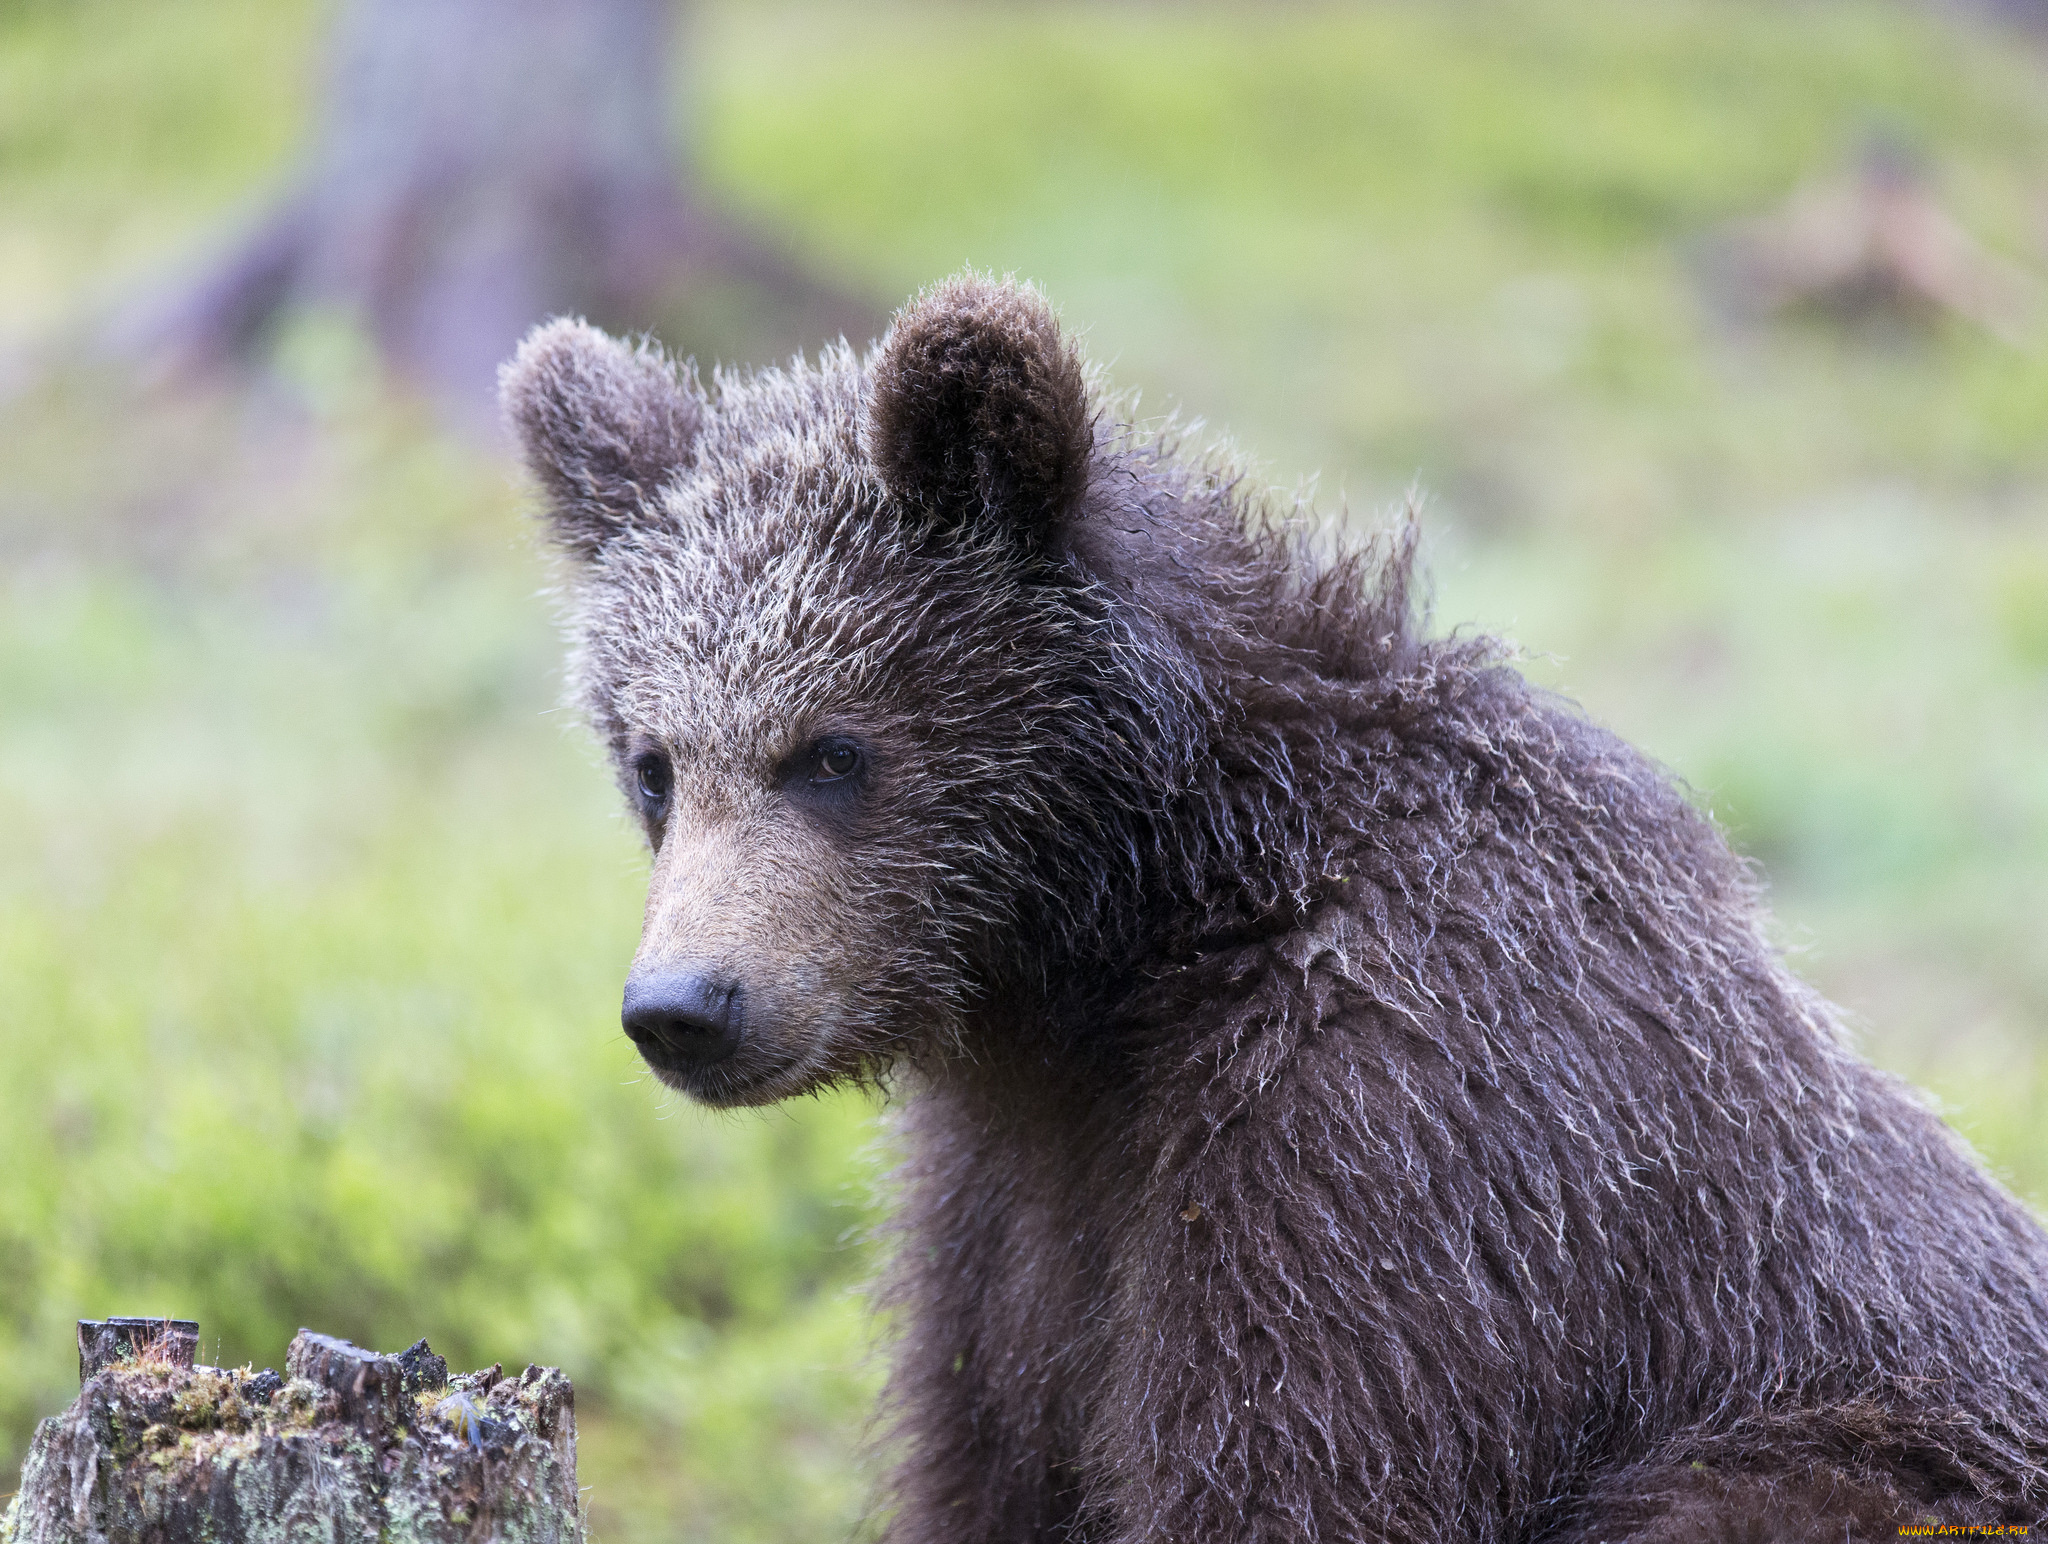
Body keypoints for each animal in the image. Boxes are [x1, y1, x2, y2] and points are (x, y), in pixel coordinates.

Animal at [499, 270, 2048, 1531]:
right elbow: (992, 1455)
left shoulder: (1384, 1130)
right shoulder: (1007, 1209)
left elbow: (1290, 1467)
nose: (685, 1005)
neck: (1135, 928)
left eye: (829, 749)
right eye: (653, 764)